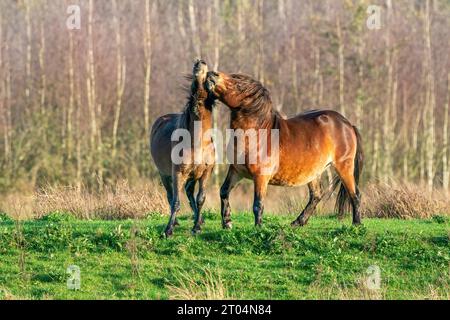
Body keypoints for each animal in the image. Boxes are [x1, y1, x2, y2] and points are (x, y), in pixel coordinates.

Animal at [149, 60, 216, 236]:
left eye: (206, 66)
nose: (199, 63)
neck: (197, 143)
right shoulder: (178, 172)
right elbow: (176, 202)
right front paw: (168, 229)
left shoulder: (205, 172)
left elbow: (201, 198)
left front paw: (197, 227)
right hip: (165, 174)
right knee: (170, 195)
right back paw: (177, 222)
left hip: (192, 175)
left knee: (189, 193)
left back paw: (198, 219)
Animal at [206, 72, 364, 228]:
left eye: (238, 84)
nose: (211, 74)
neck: (257, 134)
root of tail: (348, 124)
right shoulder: (236, 171)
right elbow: (224, 192)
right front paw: (227, 223)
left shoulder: (261, 177)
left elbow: (258, 204)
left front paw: (258, 228)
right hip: (314, 172)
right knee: (316, 195)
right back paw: (298, 222)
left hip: (344, 167)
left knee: (355, 194)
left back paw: (356, 224)